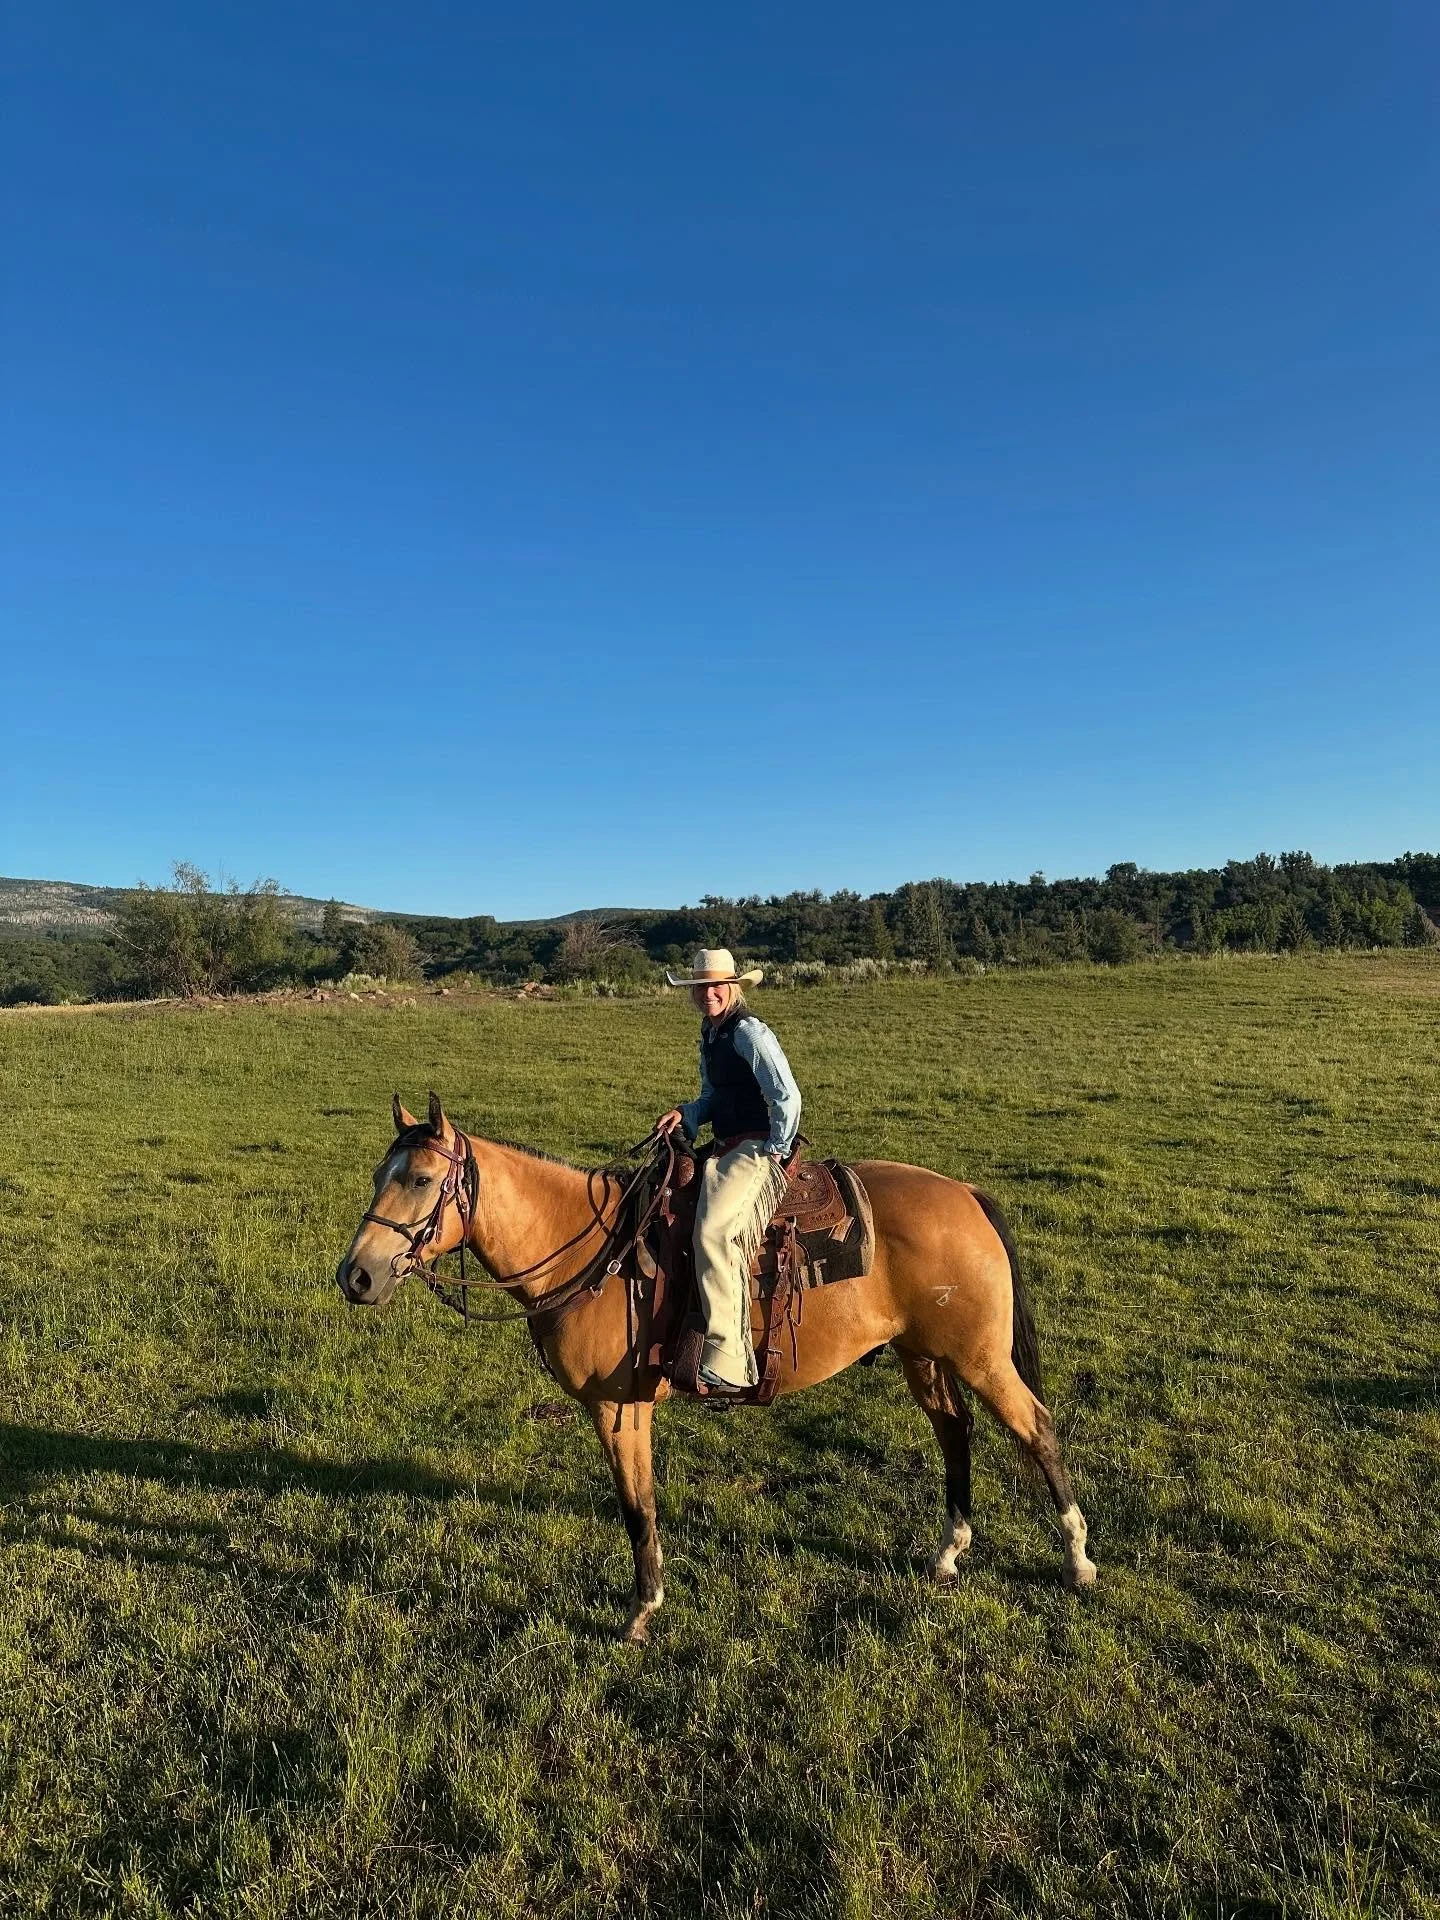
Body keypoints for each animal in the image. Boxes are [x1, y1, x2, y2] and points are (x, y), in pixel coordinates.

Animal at [336, 1093, 1097, 1643]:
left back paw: (1078, 1558)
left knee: (1036, 1428)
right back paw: (948, 1552)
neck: (588, 1250)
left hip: (979, 1356)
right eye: (377, 1176)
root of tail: (964, 1193)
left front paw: (641, 1613)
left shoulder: (618, 1408)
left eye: (422, 1179)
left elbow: (637, 1507)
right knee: (954, 1432)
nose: (356, 1276)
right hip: (925, 1355)